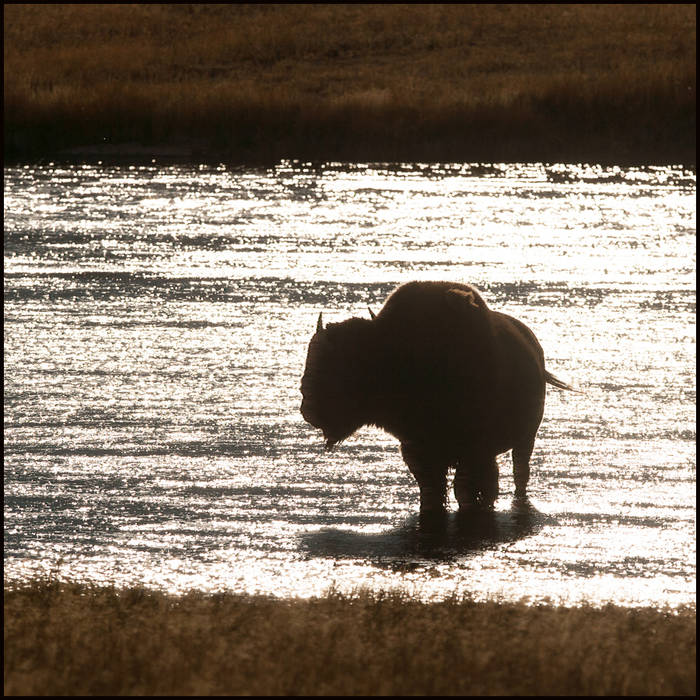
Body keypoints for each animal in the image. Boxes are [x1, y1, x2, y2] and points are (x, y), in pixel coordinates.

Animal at [300, 281, 574, 513]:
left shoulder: (474, 450)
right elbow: (433, 489)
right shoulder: (419, 449)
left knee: (519, 472)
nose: (308, 409)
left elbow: (467, 489)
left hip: (526, 439)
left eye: (340, 367)